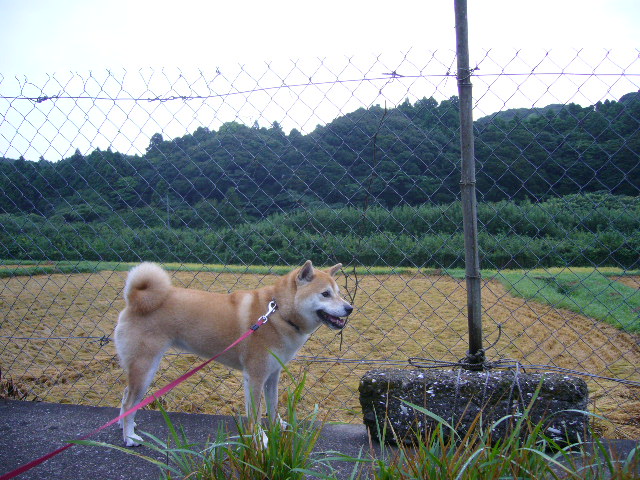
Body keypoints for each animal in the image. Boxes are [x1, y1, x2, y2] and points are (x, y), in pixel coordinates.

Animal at [113, 262, 352, 446]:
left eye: (339, 293)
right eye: (325, 294)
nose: (350, 308)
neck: (279, 314)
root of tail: (134, 300)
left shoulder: (272, 375)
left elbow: (273, 406)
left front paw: (277, 426)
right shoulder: (255, 376)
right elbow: (255, 414)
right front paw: (260, 439)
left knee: (125, 397)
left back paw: (125, 425)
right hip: (145, 367)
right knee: (129, 403)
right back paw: (130, 437)